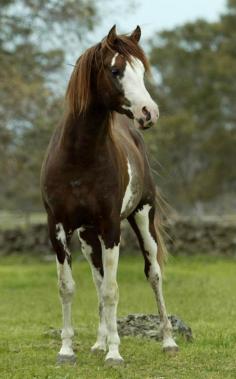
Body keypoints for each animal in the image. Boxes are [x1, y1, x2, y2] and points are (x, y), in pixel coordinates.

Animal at [40, 25, 178, 366]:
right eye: (116, 71)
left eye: (141, 70)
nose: (149, 112)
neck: (79, 157)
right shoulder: (58, 227)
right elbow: (68, 287)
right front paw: (67, 351)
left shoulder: (111, 227)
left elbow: (113, 290)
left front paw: (115, 354)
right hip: (88, 237)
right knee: (98, 279)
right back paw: (99, 343)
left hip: (142, 218)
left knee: (154, 274)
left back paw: (168, 341)